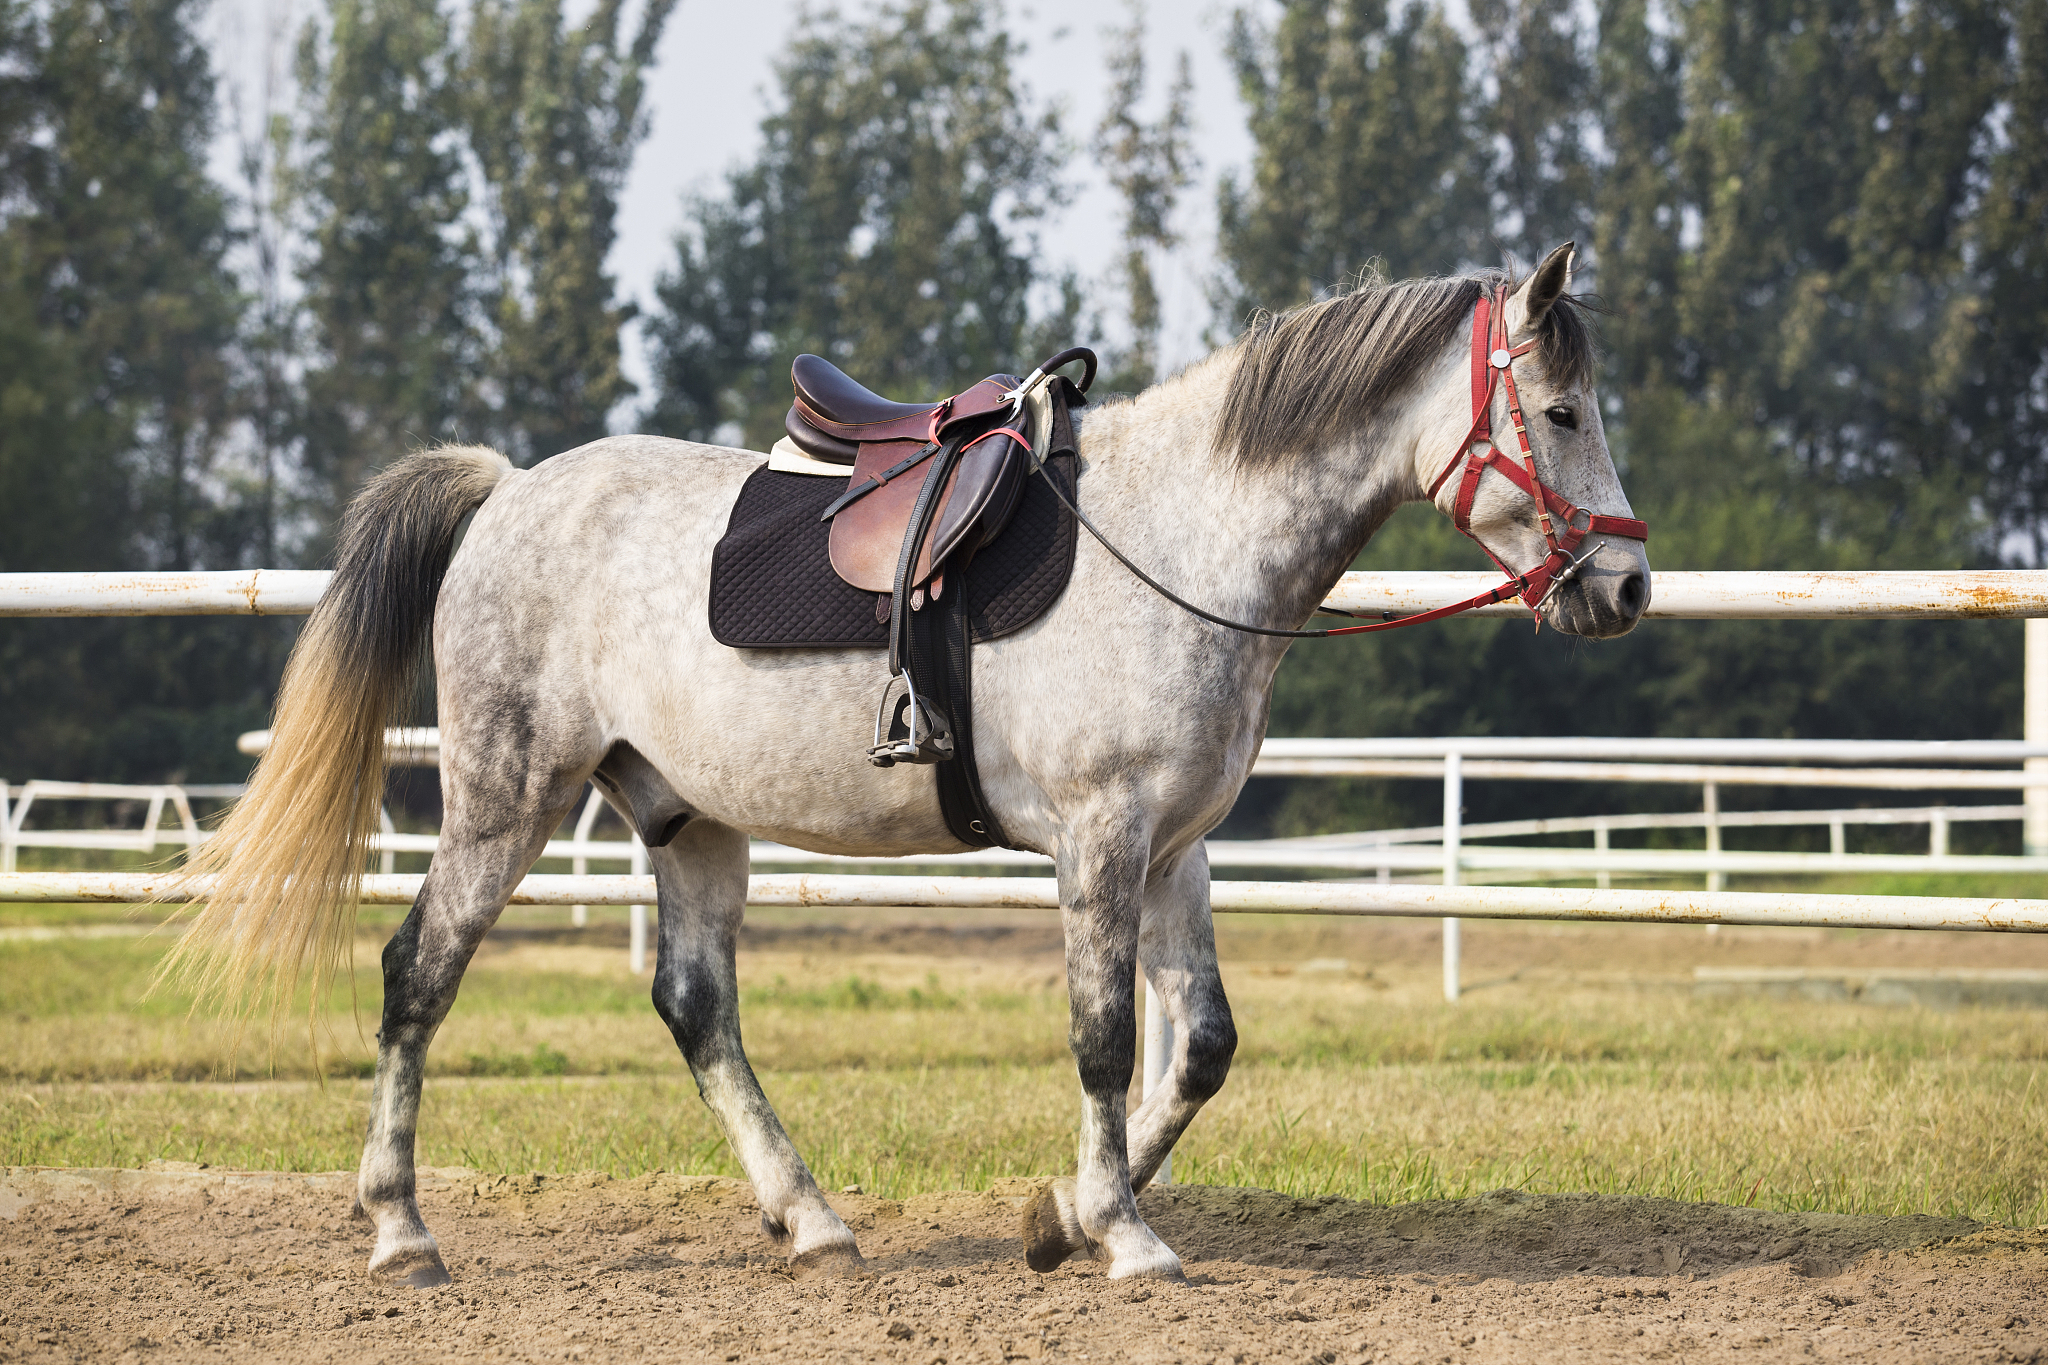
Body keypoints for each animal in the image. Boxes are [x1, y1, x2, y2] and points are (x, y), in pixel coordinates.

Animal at [168, 242, 1650, 1287]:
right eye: (1563, 409)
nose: (1626, 587)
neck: (1183, 538)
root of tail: (508, 490)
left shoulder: (1173, 849)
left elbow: (1201, 1049)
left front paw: (1062, 1218)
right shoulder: (1100, 839)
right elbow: (1105, 1037)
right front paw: (1124, 1239)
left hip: (688, 820)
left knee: (696, 1008)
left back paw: (812, 1220)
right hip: (504, 796)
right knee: (417, 974)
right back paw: (400, 1230)